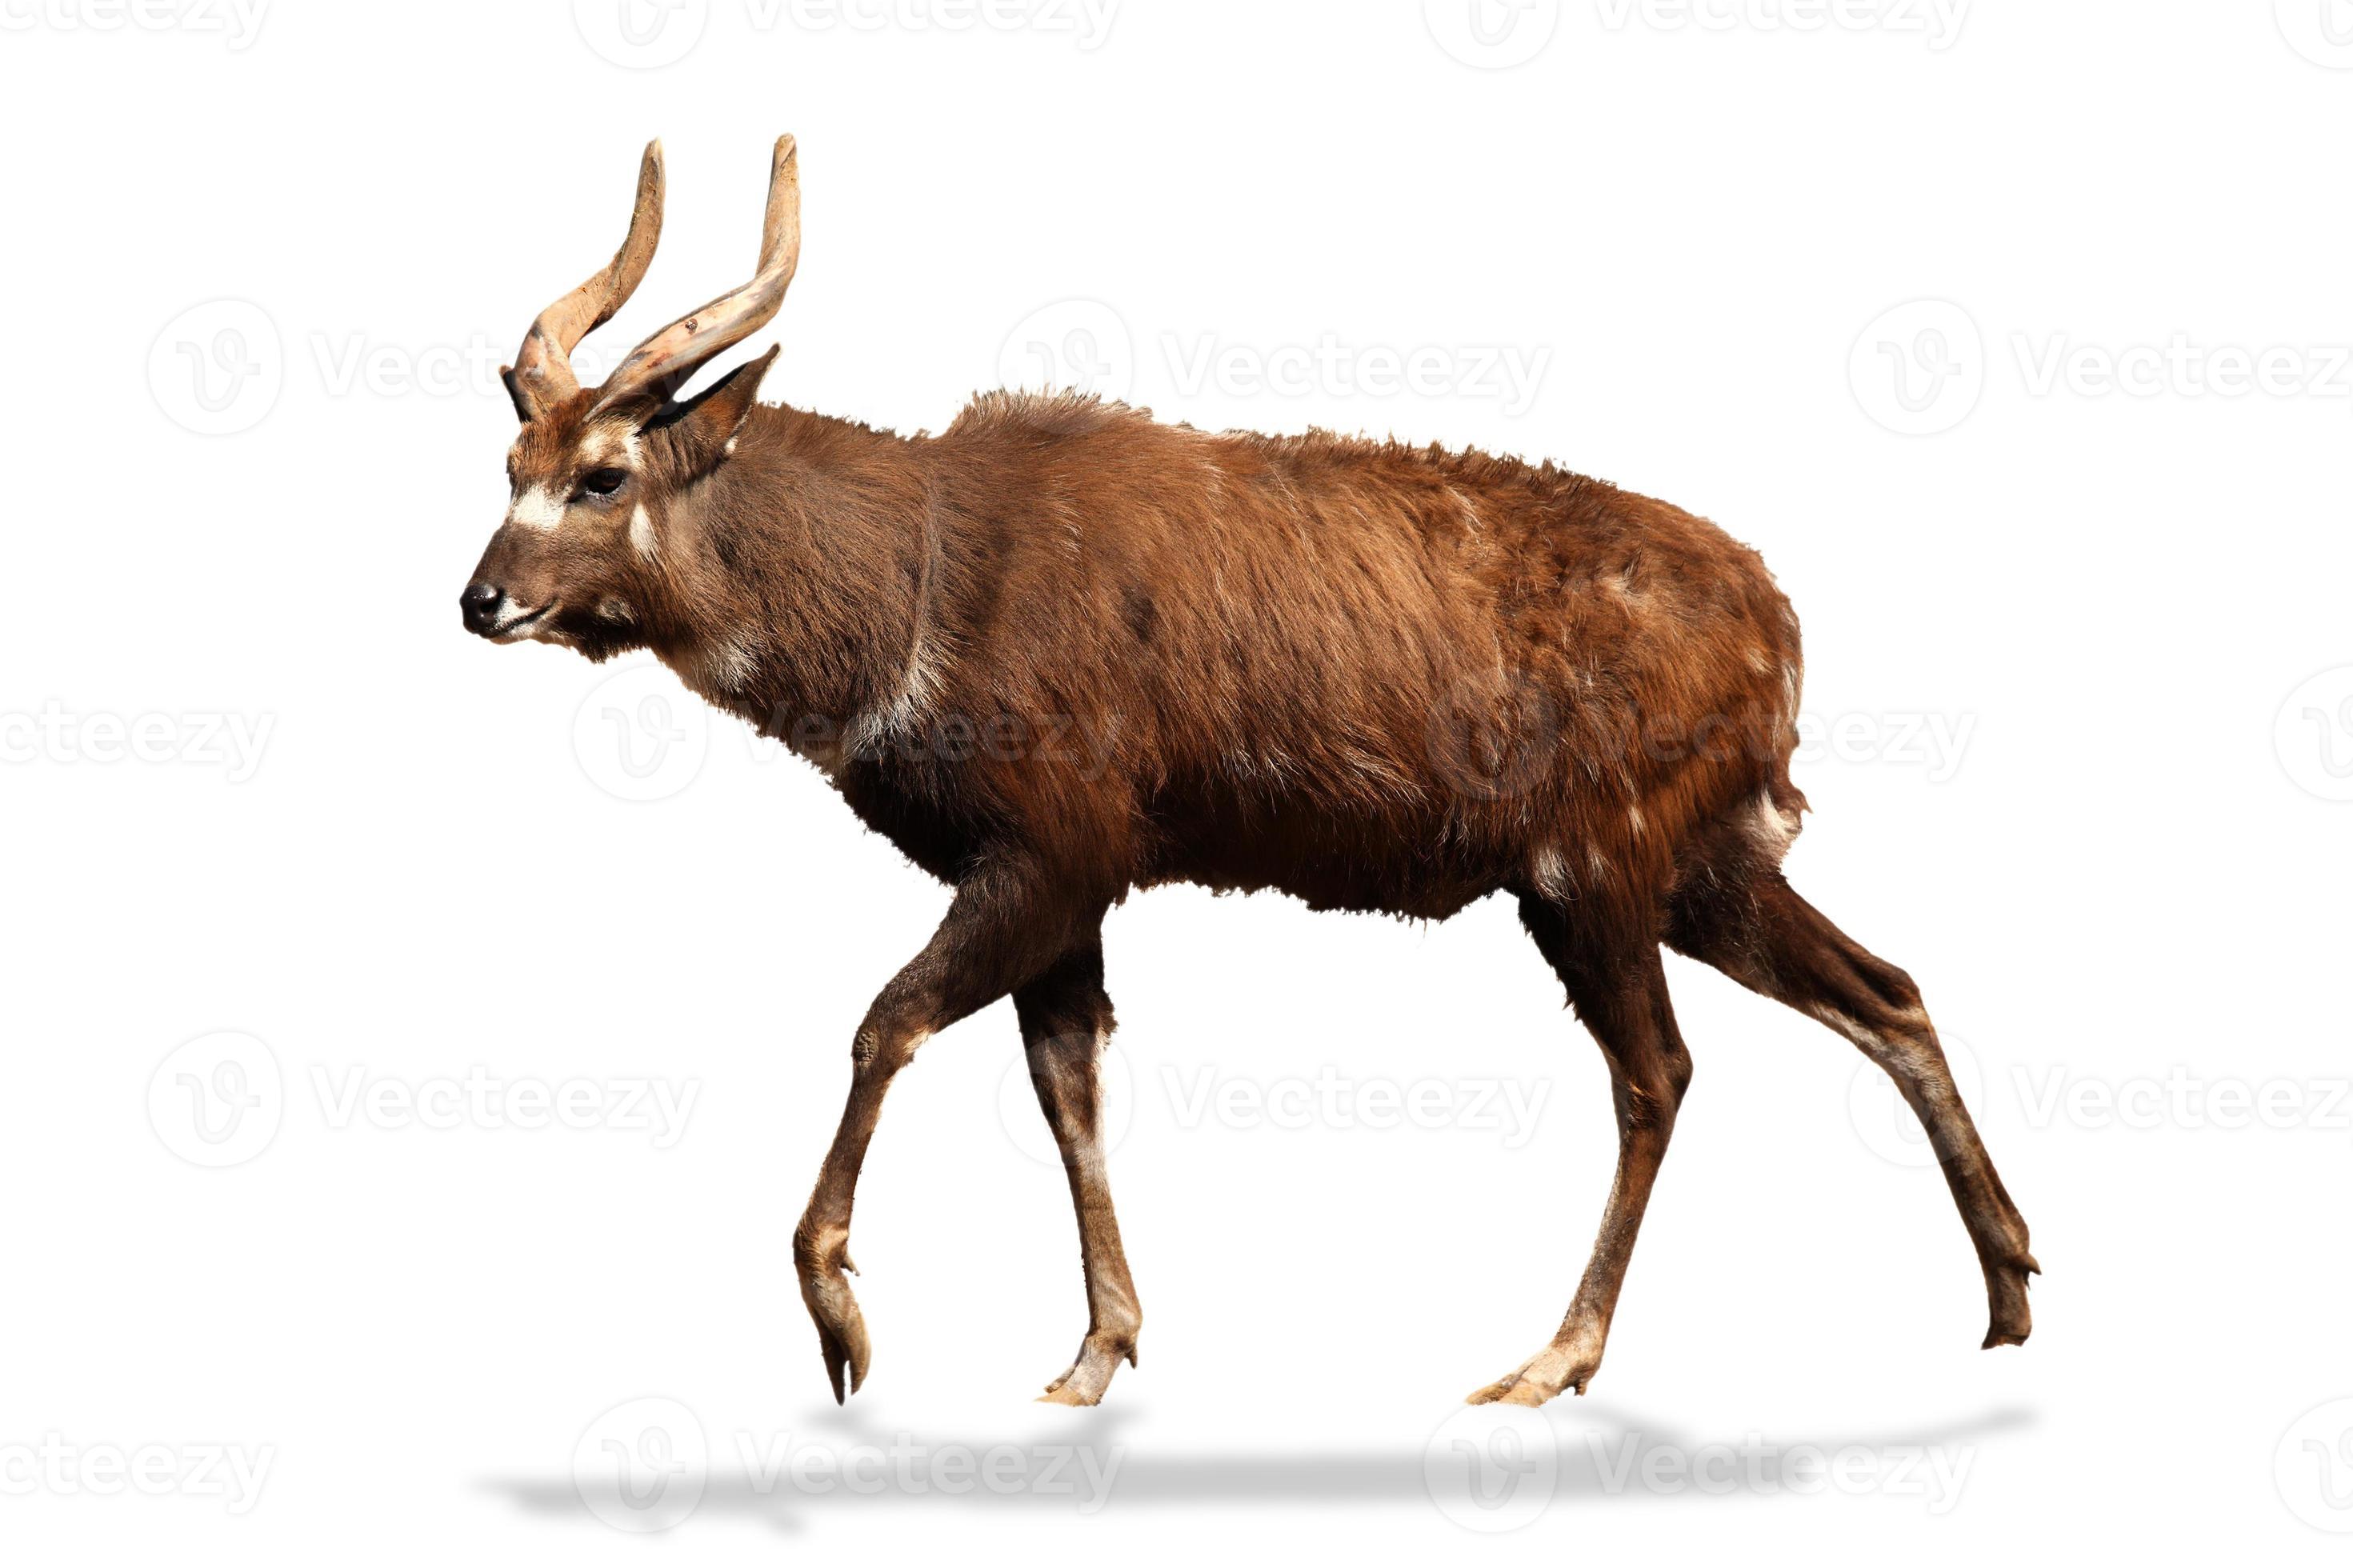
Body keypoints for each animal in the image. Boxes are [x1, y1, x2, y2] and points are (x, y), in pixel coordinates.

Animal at [460, 136, 2036, 1408]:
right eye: (510, 461)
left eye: (603, 473)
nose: (481, 601)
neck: (923, 577)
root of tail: (1776, 622)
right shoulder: (1069, 893)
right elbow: (1068, 1085)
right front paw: (1095, 1355)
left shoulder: (1050, 856)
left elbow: (883, 1024)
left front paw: (845, 1324)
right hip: (1703, 871)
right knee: (1886, 991)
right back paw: (2009, 1294)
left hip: (1594, 874)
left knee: (1659, 1072)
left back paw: (1550, 1362)